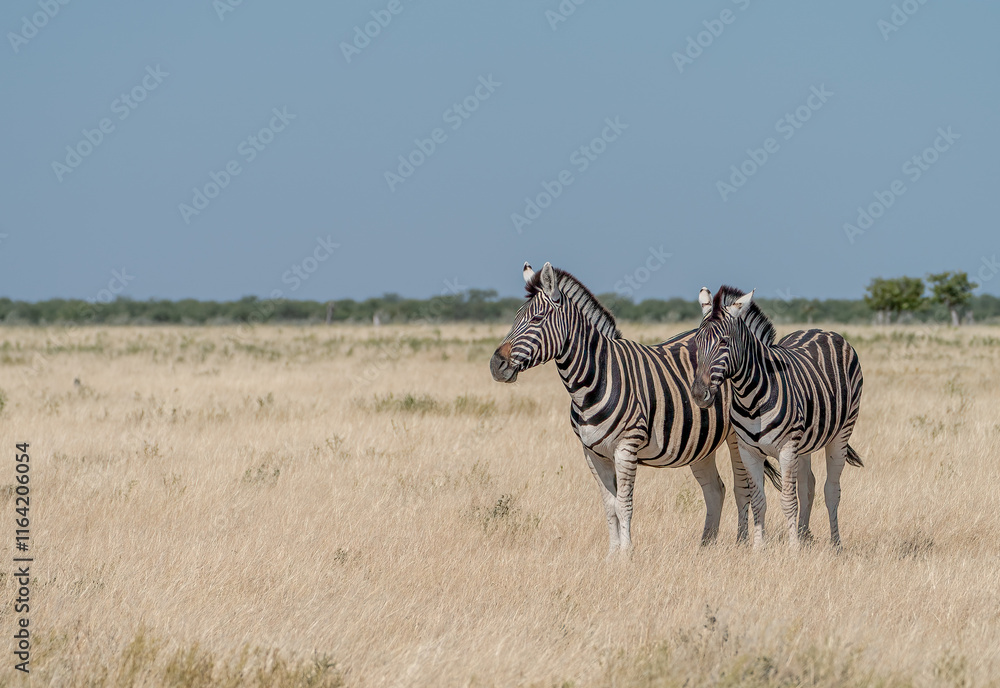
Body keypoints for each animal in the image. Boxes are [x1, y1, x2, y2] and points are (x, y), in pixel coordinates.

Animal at [489, 262, 778, 555]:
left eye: (537, 319)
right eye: (516, 317)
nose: (496, 365)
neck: (593, 380)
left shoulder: (626, 448)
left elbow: (624, 504)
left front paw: (626, 555)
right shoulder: (592, 453)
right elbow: (609, 506)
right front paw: (611, 555)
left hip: (736, 438)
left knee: (742, 489)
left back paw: (741, 544)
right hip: (699, 442)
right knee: (715, 490)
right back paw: (705, 547)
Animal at [691, 285, 864, 550]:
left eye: (724, 341)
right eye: (697, 342)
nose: (699, 394)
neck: (751, 398)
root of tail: (822, 330)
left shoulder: (786, 449)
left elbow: (788, 500)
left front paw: (793, 550)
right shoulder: (748, 451)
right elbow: (758, 500)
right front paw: (758, 548)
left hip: (841, 434)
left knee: (832, 490)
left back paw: (835, 545)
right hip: (805, 444)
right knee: (808, 486)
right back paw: (804, 534)